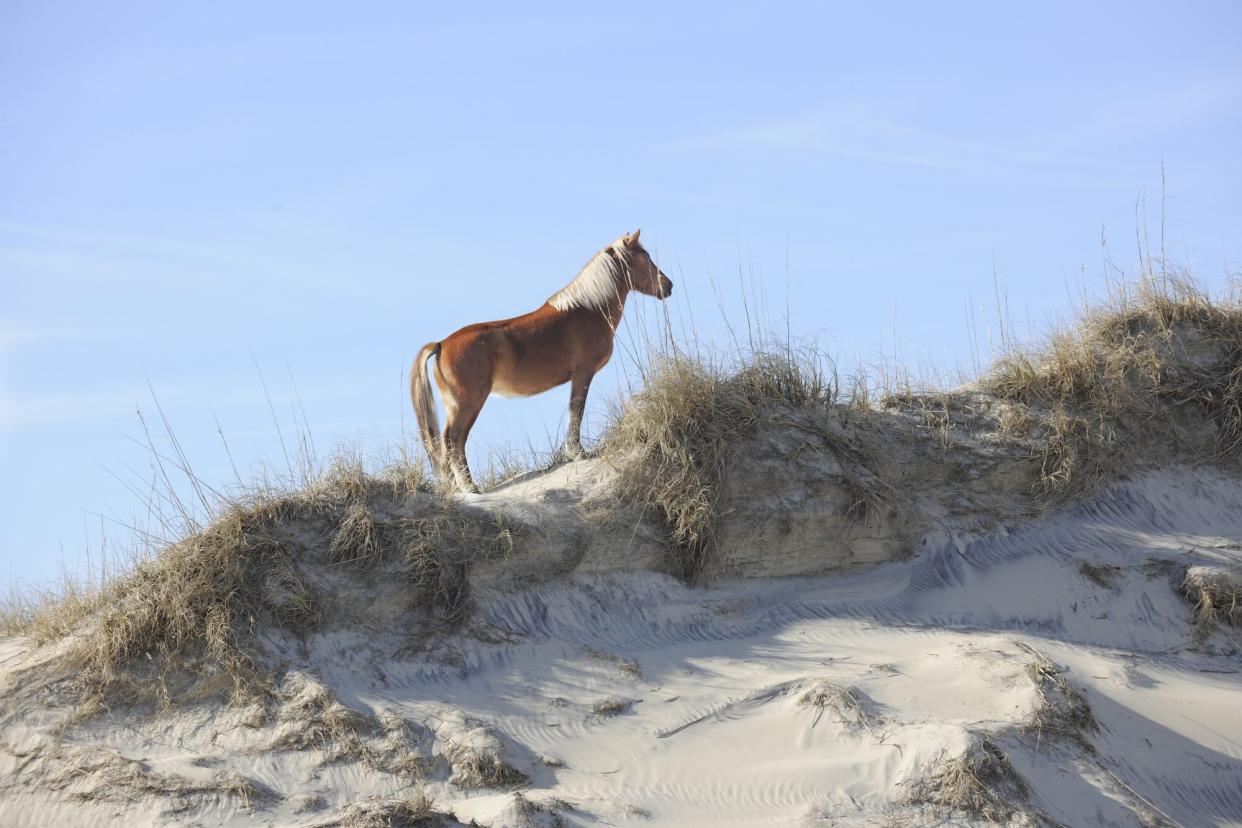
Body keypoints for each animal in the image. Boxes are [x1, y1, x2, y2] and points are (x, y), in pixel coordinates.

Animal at [412, 228, 675, 491]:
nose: (668, 285)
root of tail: (442, 344)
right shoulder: (583, 373)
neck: (588, 311)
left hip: (455, 405)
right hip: (469, 403)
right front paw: (578, 452)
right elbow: (576, 410)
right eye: (645, 256)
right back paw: (469, 487)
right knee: (455, 439)